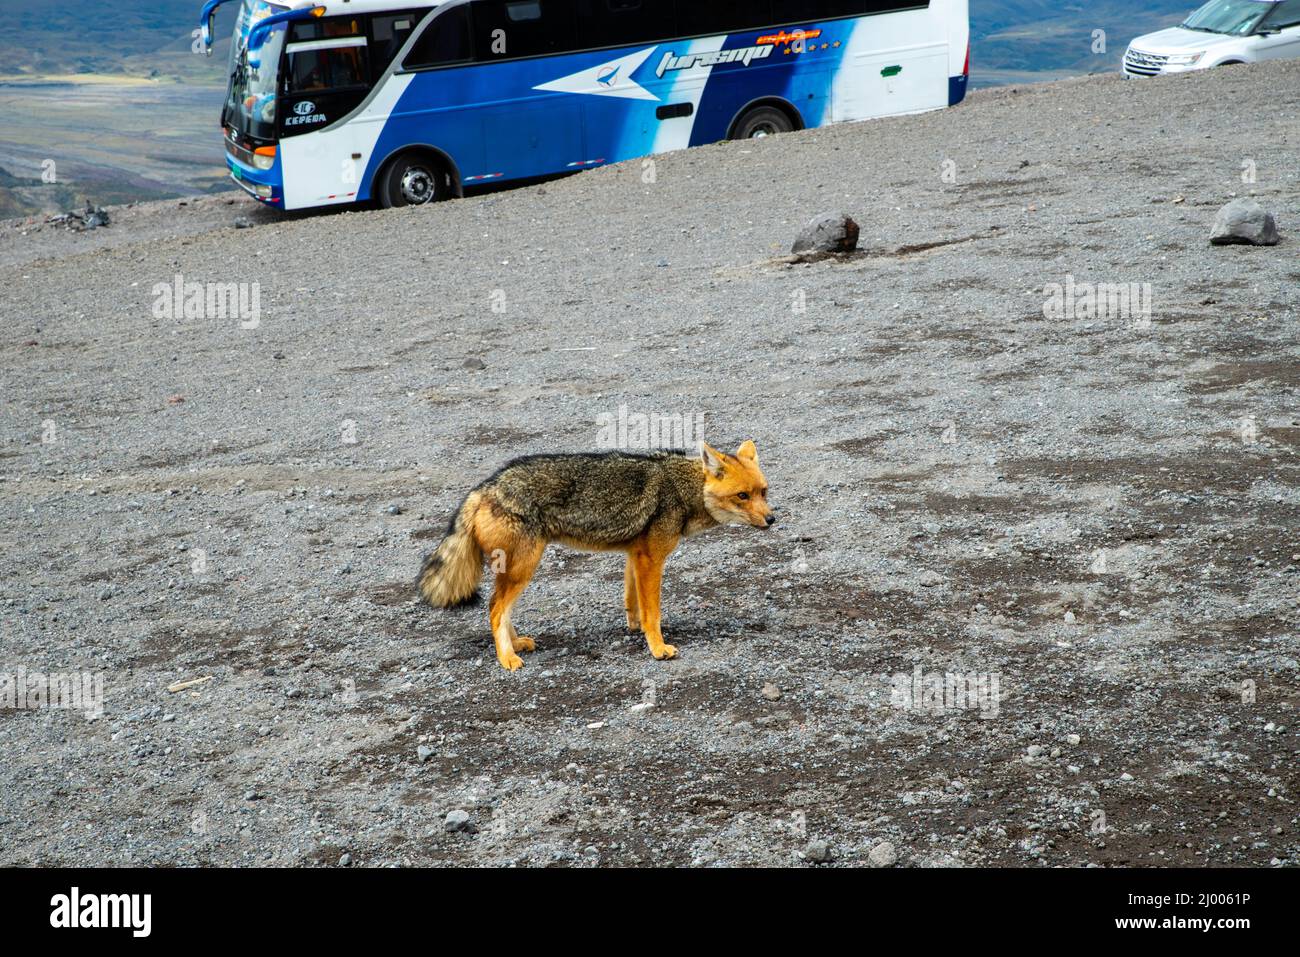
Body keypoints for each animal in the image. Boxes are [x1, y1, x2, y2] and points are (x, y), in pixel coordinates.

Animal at [416, 441, 775, 671]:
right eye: (742, 496)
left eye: (763, 492)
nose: (772, 519)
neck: (681, 488)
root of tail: (484, 487)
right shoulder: (651, 559)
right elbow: (653, 611)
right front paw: (658, 648)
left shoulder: (635, 554)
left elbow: (633, 602)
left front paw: (635, 629)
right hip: (524, 567)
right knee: (495, 609)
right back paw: (507, 659)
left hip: (517, 569)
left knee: (501, 609)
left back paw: (515, 645)